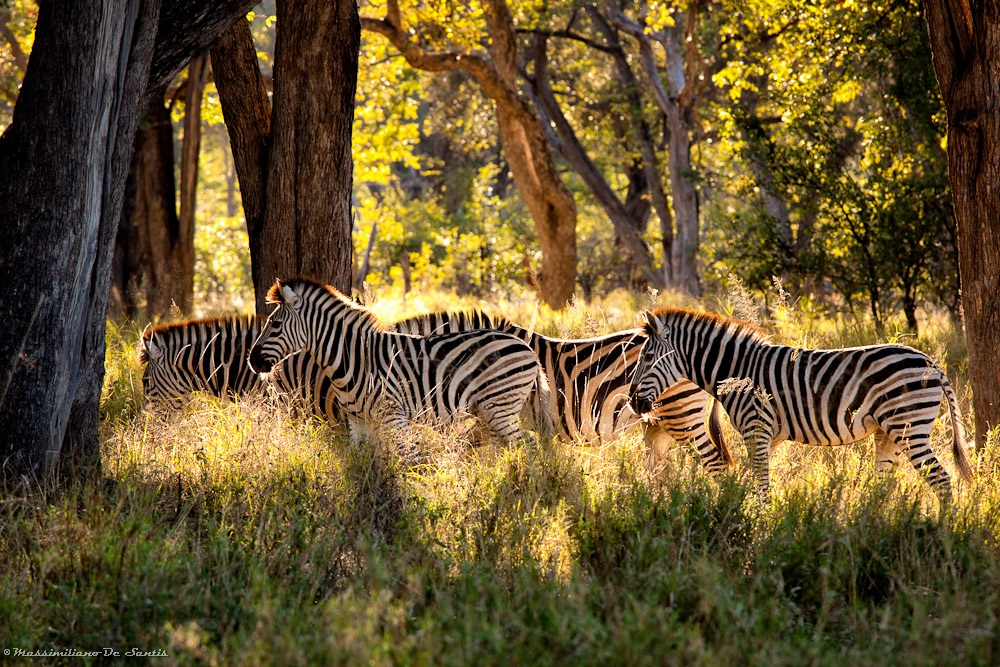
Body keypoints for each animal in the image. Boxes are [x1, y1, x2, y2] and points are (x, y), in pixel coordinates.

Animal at [247, 278, 547, 442]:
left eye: (275, 324)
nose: (252, 361)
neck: (353, 358)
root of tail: (527, 348)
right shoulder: (358, 421)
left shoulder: (395, 416)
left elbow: (408, 461)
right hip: (491, 409)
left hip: (501, 406)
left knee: (526, 446)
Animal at [391, 311, 733, 476]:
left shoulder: (493, 420)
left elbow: (468, 456)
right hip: (656, 425)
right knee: (662, 471)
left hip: (680, 413)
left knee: (714, 462)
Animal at [629, 307, 975, 500]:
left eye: (647, 357)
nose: (632, 402)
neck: (736, 371)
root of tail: (933, 364)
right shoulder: (770, 437)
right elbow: (752, 481)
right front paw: (743, 513)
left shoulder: (757, 429)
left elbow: (761, 485)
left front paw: (760, 529)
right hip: (888, 432)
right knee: (883, 485)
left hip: (909, 427)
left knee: (941, 479)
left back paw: (946, 534)